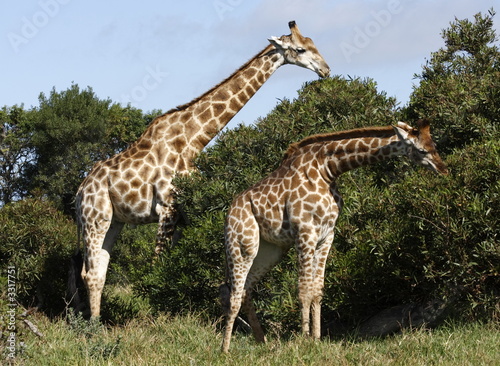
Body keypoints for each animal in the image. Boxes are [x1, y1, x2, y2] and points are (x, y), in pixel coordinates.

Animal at [73, 20, 332, 318]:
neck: (194, 140)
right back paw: (93, 325)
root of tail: (79, 193)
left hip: (114, 220)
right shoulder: (167, 207)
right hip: (95, 217)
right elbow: (156, 265)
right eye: (300, 49)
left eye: (314, 43)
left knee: (98, 269)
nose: (326, 70)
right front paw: (155, 316)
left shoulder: (184, 212)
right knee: (90, 272)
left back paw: (96, 320)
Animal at [221, 118, 448, 352]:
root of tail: (230, 211)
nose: (444, 169)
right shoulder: (305, 231)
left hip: (270, 250)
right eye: (422, 150)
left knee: (246, 289)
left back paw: (262, 341)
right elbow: (304, 289)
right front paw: (304, 340)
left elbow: (317, 289)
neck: (328, 169)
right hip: (241, 243)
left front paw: (316, 339)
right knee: (234, 294)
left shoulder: (326, 236)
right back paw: (225, 349)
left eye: (434, 145)